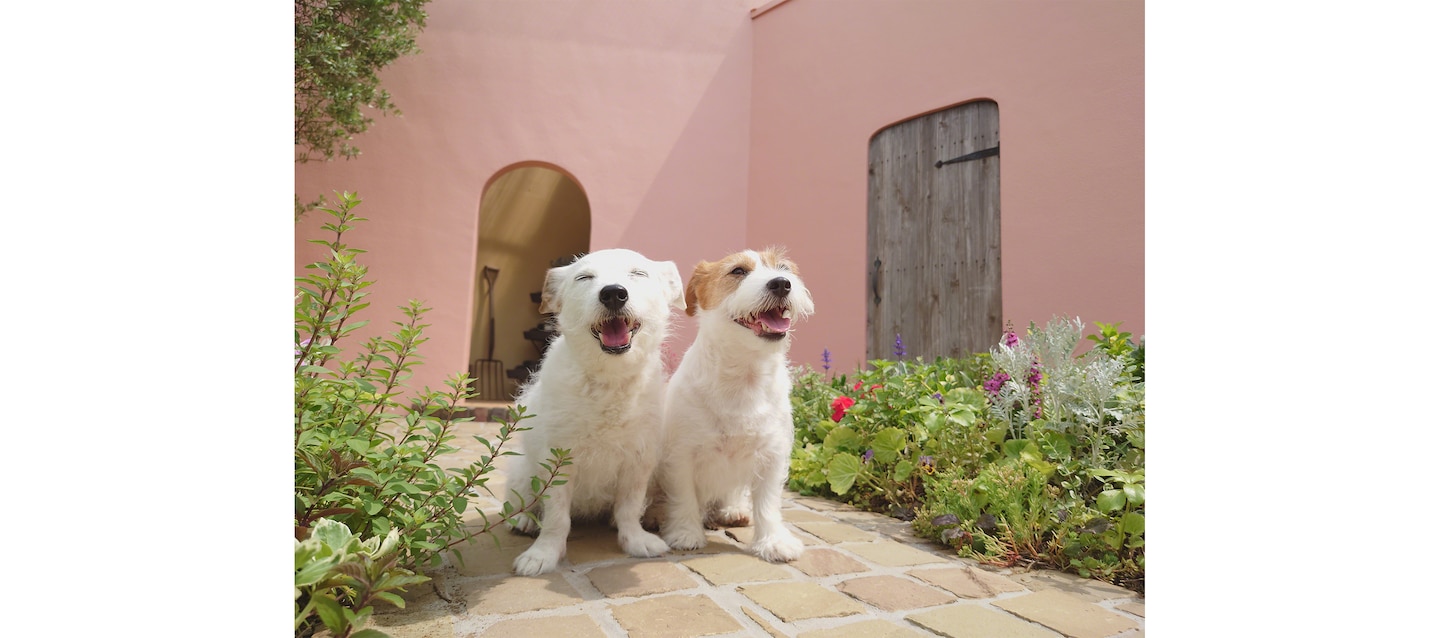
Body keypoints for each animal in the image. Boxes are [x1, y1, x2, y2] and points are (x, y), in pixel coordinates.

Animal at [506, 247, 685, 576]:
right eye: (584, 277)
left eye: (638, 273)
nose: (613, 294)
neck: (609, 382)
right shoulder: (556, 462)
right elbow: (555, 517)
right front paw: (544, 553)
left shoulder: (638, 462)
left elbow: (629, 507)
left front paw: (634, 539)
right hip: (522, 470)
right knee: (521, 498)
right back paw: (523, 519)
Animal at [659, 247, 817, 561]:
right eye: (738, 271)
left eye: (783, 267)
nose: (782, 283)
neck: (744, 376)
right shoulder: (681, 454)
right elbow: (683, 495)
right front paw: (685, 532)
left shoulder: (772, 455)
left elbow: (768, 503)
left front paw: (773, 541)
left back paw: (733, 510)